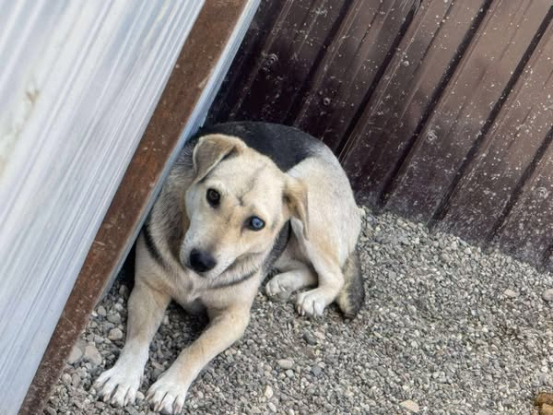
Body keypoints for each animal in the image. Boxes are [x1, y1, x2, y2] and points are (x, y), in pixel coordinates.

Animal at [94, 121, 365, 413]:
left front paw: (171, 386)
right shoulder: (149, 290)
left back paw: (315, 298)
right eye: (213, 195)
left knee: (334, 275)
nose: (200, 261)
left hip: (309, 214)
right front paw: (123, 377)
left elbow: (198, 348)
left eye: (256, 223)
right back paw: (283, 283)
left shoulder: (234, 318)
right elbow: (139, 337)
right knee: (308, 267)